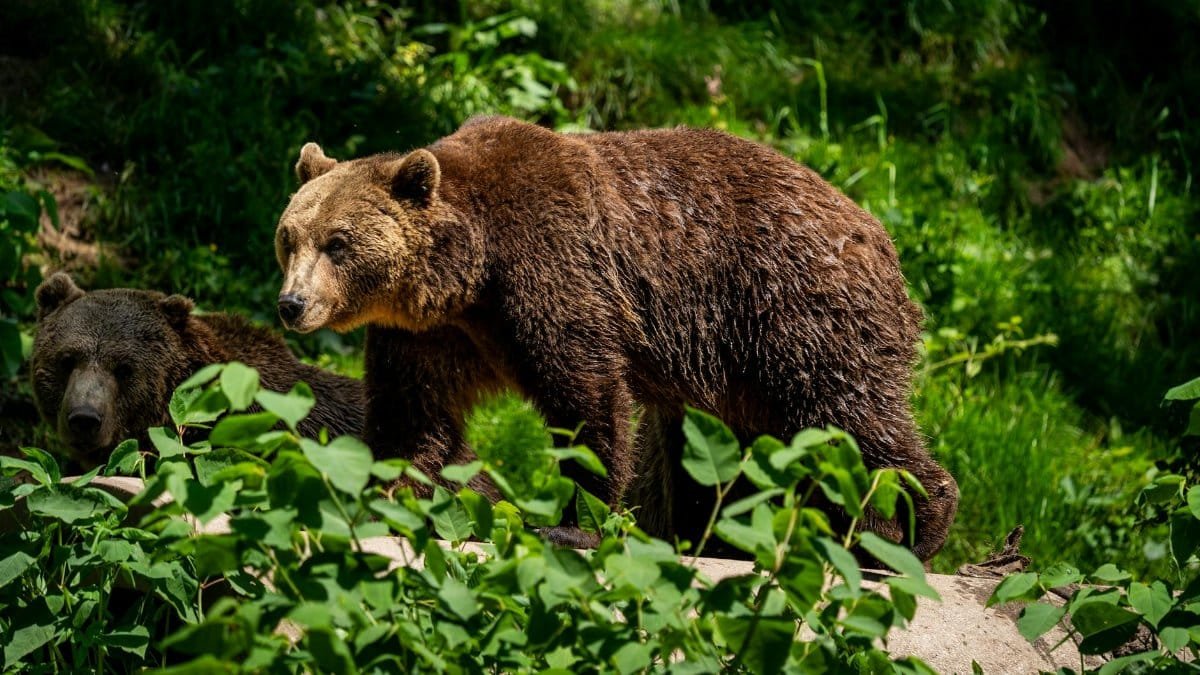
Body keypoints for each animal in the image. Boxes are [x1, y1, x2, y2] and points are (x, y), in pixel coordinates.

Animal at [273, 115, 958, 560]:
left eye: (339, 243)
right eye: (290, 237)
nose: (291, 304)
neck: (469, 274)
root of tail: (877, 231)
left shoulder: (553, 273)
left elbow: (587, 397)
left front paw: (575, 524)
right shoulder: (432, 335)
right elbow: (412, 414)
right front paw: (384, 497)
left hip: (792, 311)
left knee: (847, 416)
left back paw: (917, 524)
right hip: (733, 370)